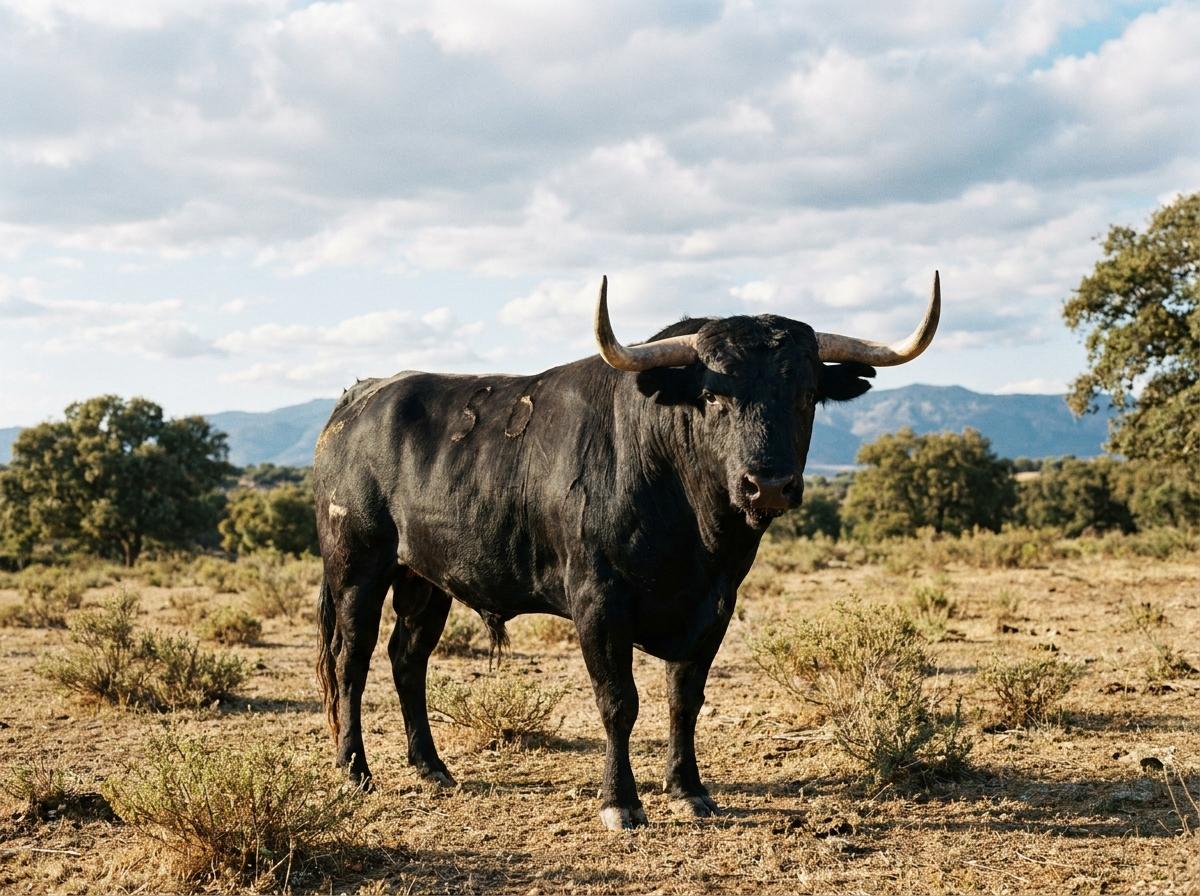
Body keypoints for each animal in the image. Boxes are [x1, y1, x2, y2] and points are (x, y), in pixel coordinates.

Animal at [314, 273, 940, 829]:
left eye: (807, 394)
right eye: (712, 394)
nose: (768, 485)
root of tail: (358, 399)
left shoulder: (715, 607)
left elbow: (684, 698)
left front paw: (689, 790)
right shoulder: (597, 602)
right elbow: (619, 700)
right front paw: (621, 802)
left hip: (424, 578)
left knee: (407, 658)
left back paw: (432, 768)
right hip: (356, 566)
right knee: (351, 659)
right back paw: (354, 770)